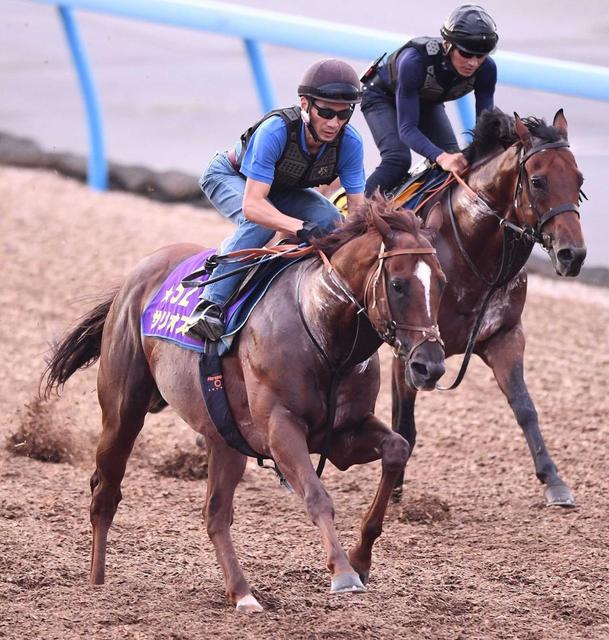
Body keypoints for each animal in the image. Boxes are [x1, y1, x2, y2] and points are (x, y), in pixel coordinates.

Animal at [41, 200, 442, 608]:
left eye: (442, 282)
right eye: (398, 284)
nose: (430, 365)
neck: (323, 331)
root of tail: (135, 277)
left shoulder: (344, 433)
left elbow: (396, 449)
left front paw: (361, 559)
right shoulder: (281, 428)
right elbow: (317, 496)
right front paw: (343, 572)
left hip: (225, 438)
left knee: (215, 513)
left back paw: (243, 593)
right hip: (123, 411)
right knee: (105, 492)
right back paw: (97, 582)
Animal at [390, 111, 584, 510]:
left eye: (580, 180)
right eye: (538, 181)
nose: (574, 254)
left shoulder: (504, 336)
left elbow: (524, 407)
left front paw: (554, 480)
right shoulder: (410, 347)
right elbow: (405, 423)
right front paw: (393, 489)